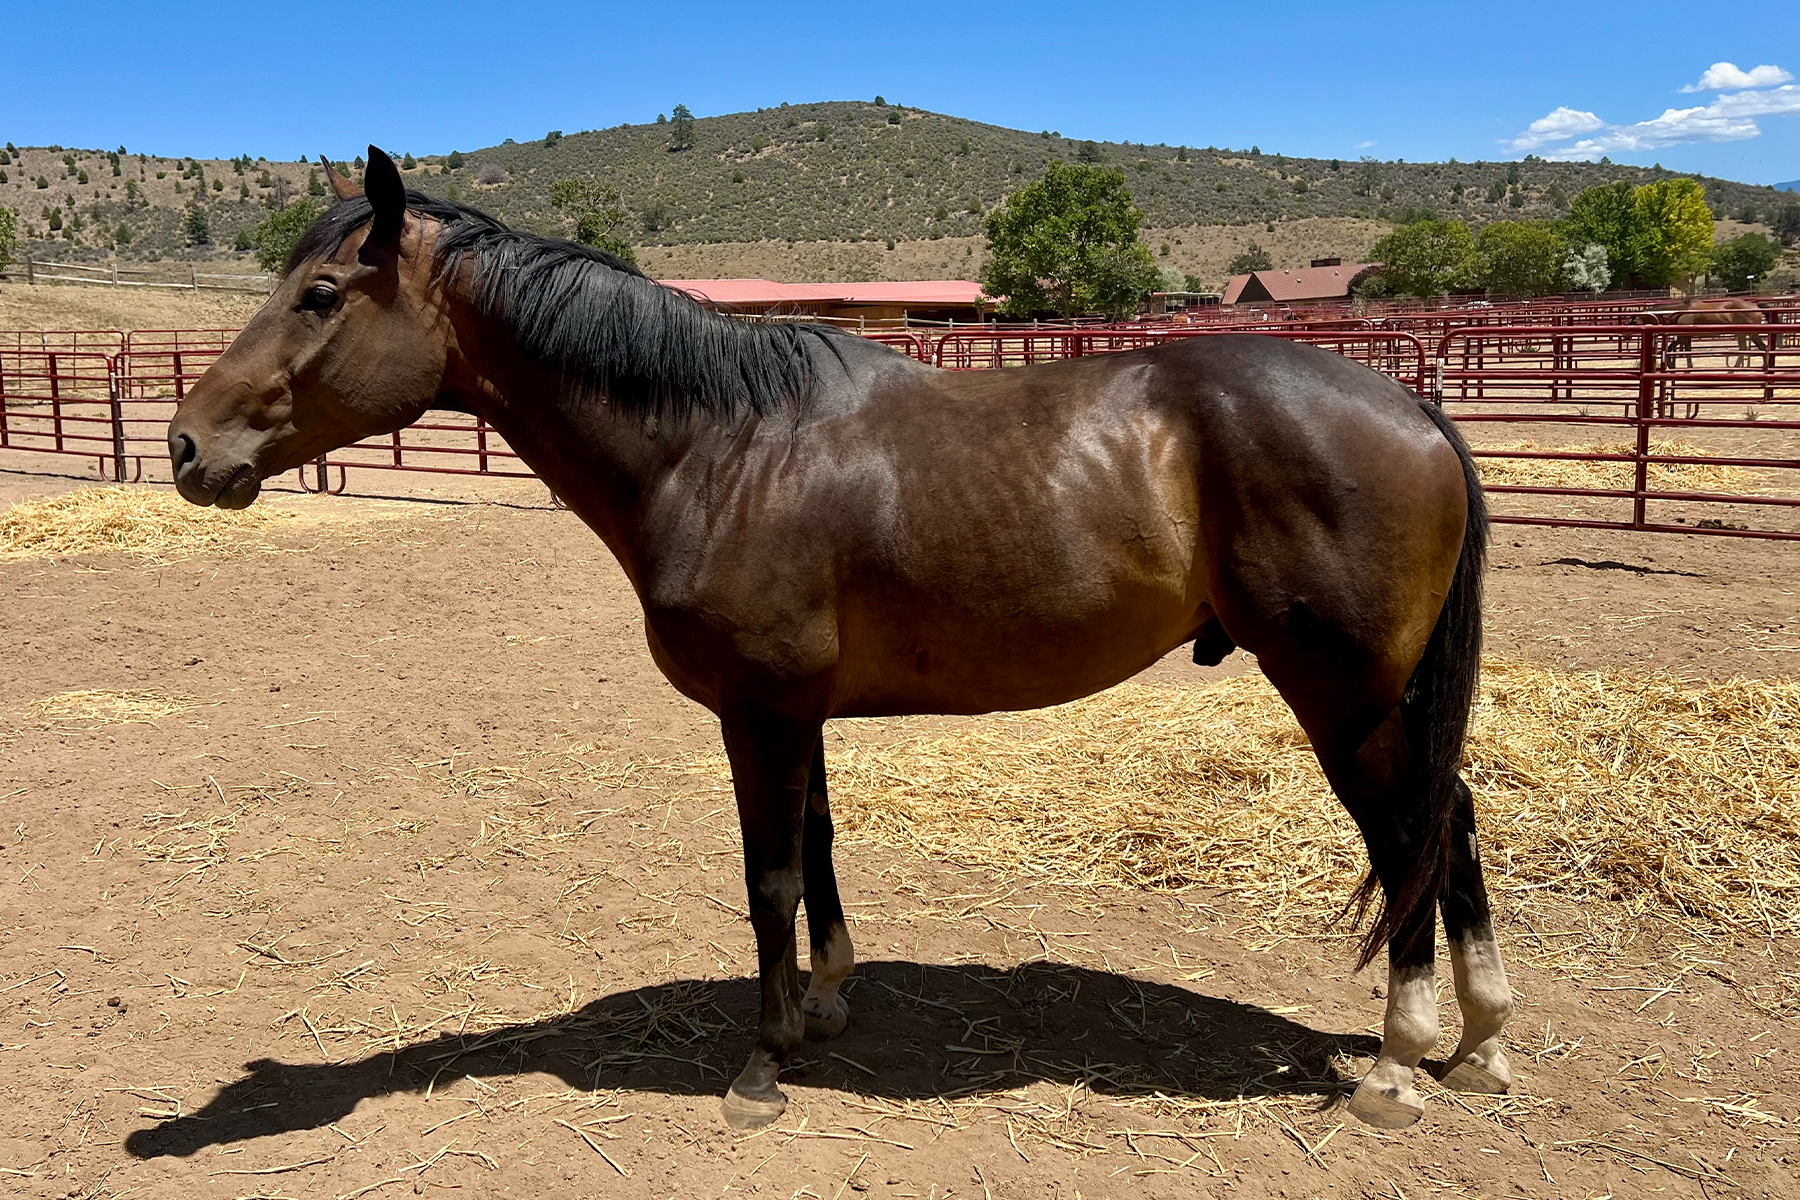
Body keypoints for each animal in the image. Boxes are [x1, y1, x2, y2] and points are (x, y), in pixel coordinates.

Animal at [166, 148, 1514, 1133]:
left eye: (320, 297)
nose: (186, 446)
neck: (720, 445)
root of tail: (1412, 408)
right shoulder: (797, 711)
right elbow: (816, 853)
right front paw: (825, 1004)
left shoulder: (757, 713)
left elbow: (766, 877)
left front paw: (762, 1066)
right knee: (1451, 820)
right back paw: (1482, 1042)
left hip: (1343, 696)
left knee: (1412, 832)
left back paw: (1399, 1065)